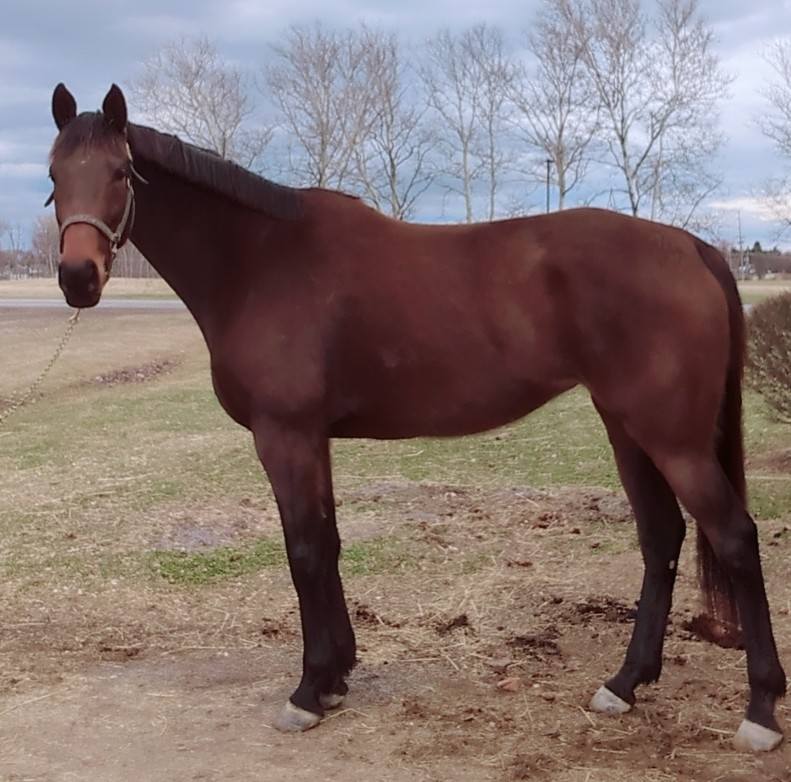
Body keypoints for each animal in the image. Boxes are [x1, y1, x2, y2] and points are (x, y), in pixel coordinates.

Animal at [46, 83, 785, 752]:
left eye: (119, 173)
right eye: (54, 176)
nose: (78, 278)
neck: (258, 261)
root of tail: (691, 246)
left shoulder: (284, 436)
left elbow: (303, 550)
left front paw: (308, 691)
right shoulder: (313, 439)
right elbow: (327, 545)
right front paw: (337, 676)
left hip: (673, 439)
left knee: (734, 538)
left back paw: (758, 712)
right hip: (626, 427)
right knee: (661, 538)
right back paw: (624, 684)